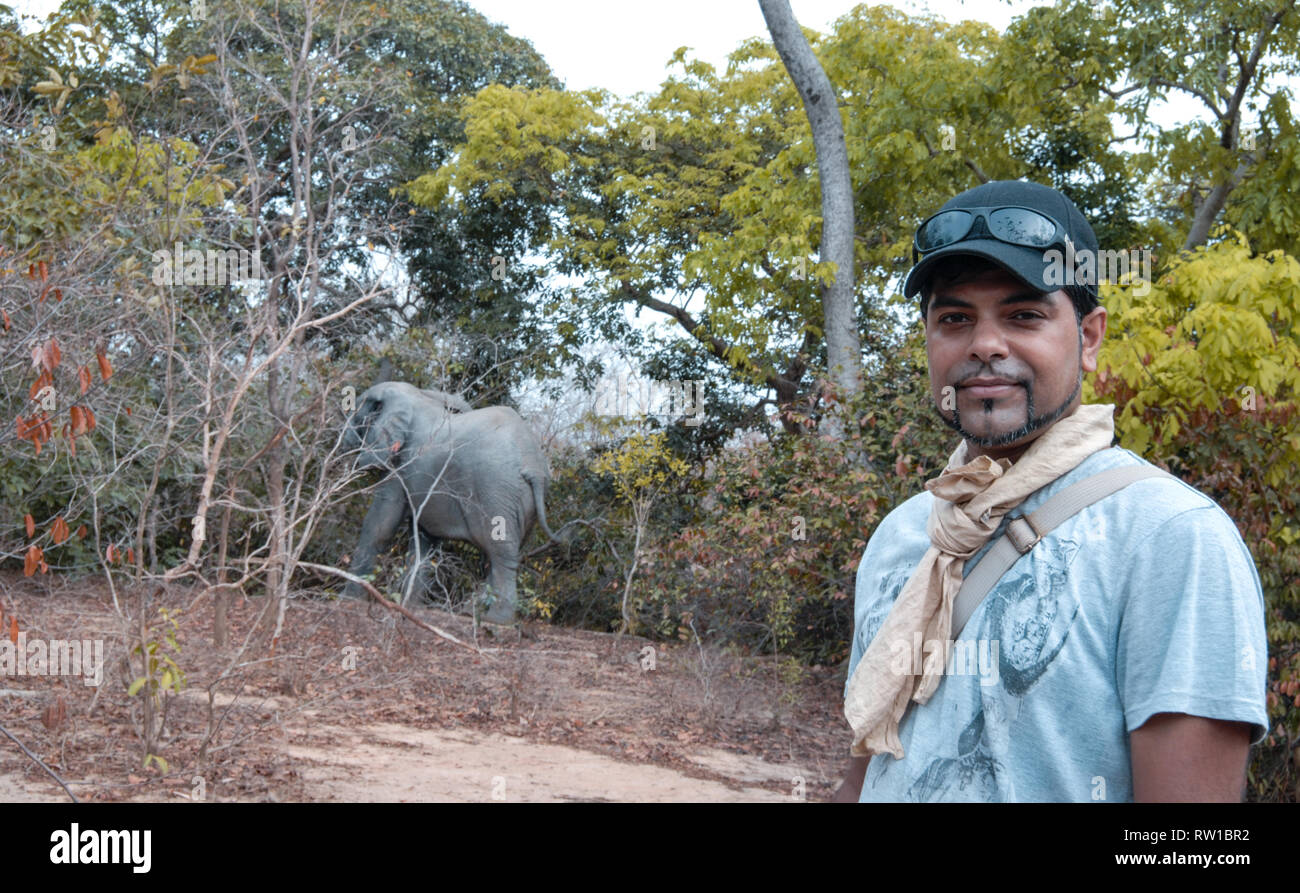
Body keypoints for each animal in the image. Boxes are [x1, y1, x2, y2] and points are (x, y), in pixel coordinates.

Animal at [340, 379, 559, 626]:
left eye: (355, 416)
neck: (416, 395)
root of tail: (534, 467)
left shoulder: (401, 463)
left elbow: (381, 524)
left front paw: (346, 599)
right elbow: (423, 538)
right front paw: (410, 607)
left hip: (497, 490)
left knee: (501, 552)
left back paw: (495, 620)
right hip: (523, 500)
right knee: (500, 553)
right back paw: (471, 612)